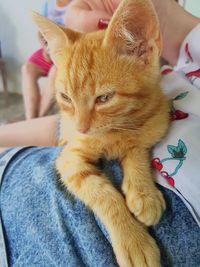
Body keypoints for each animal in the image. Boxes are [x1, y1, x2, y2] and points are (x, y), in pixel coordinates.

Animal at [32, 0, 169, 266]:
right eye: (65, 98)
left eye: (104, 98)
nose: (80, 128)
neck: (115, 131)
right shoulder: (69, 158)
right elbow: (102, 193)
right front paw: (133, 240)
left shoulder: (153, 124)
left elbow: (137, 148)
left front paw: (143, 192)